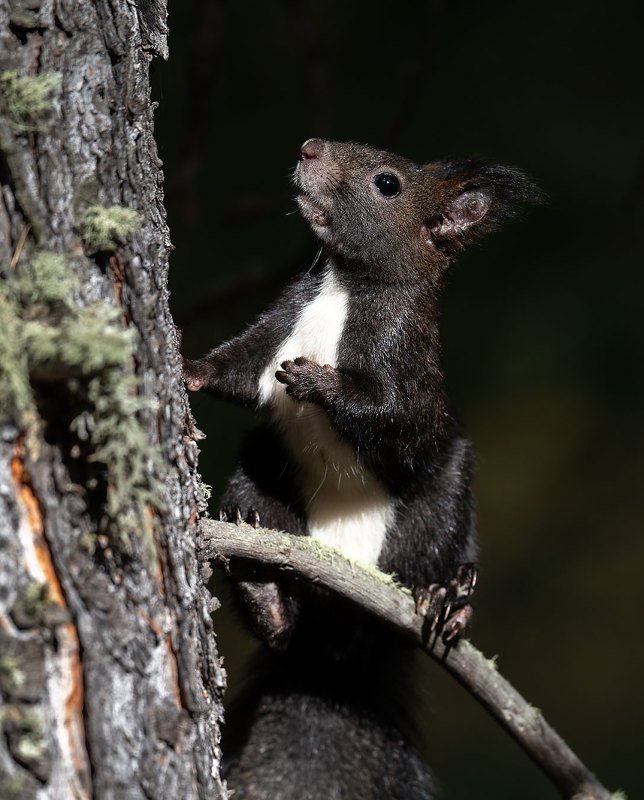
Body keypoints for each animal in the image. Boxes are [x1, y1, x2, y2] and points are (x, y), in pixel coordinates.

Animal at [184, 138, 538, 799]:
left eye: (387, 182)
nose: (308, 147)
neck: (344, 288)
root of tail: (340, 649)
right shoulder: (280, 321)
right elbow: (237, 371)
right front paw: (188, 366)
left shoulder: (406, 361)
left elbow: (389, 416)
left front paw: (314, 381)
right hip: (261, 471)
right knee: (282, 625)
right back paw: (260, 580)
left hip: (438, 508)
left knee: (430, 555)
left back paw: (448, 597)